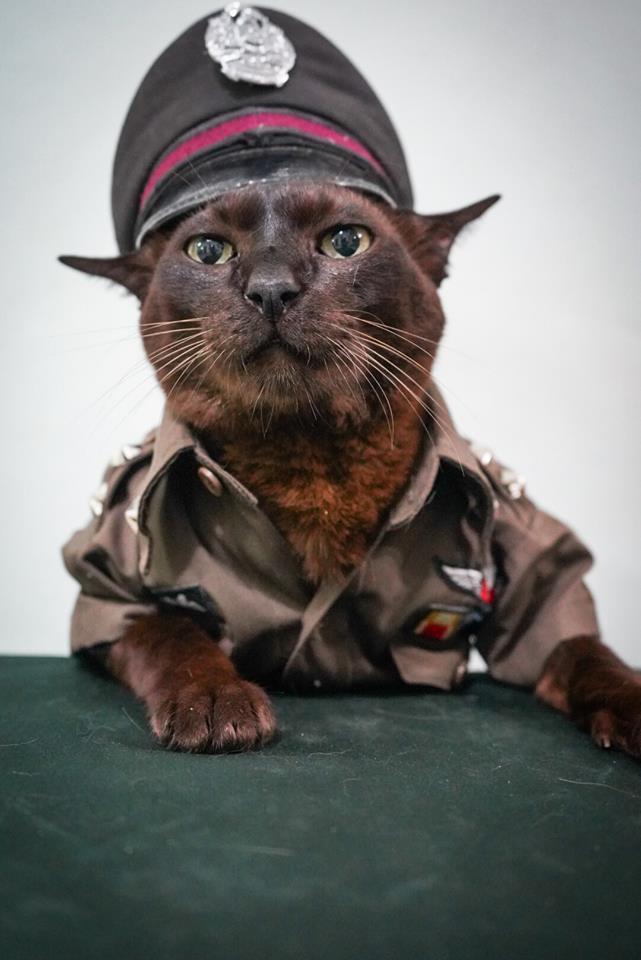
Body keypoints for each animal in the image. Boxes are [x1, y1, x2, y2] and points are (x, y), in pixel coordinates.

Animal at [61, 182, 641, 758]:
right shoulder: (109, 594)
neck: (315, 470)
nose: (271, 290)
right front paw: (215, 705)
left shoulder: (534, 579)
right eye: (207, 250)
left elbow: (584, 650)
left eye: (345, 241)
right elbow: (173, 636)